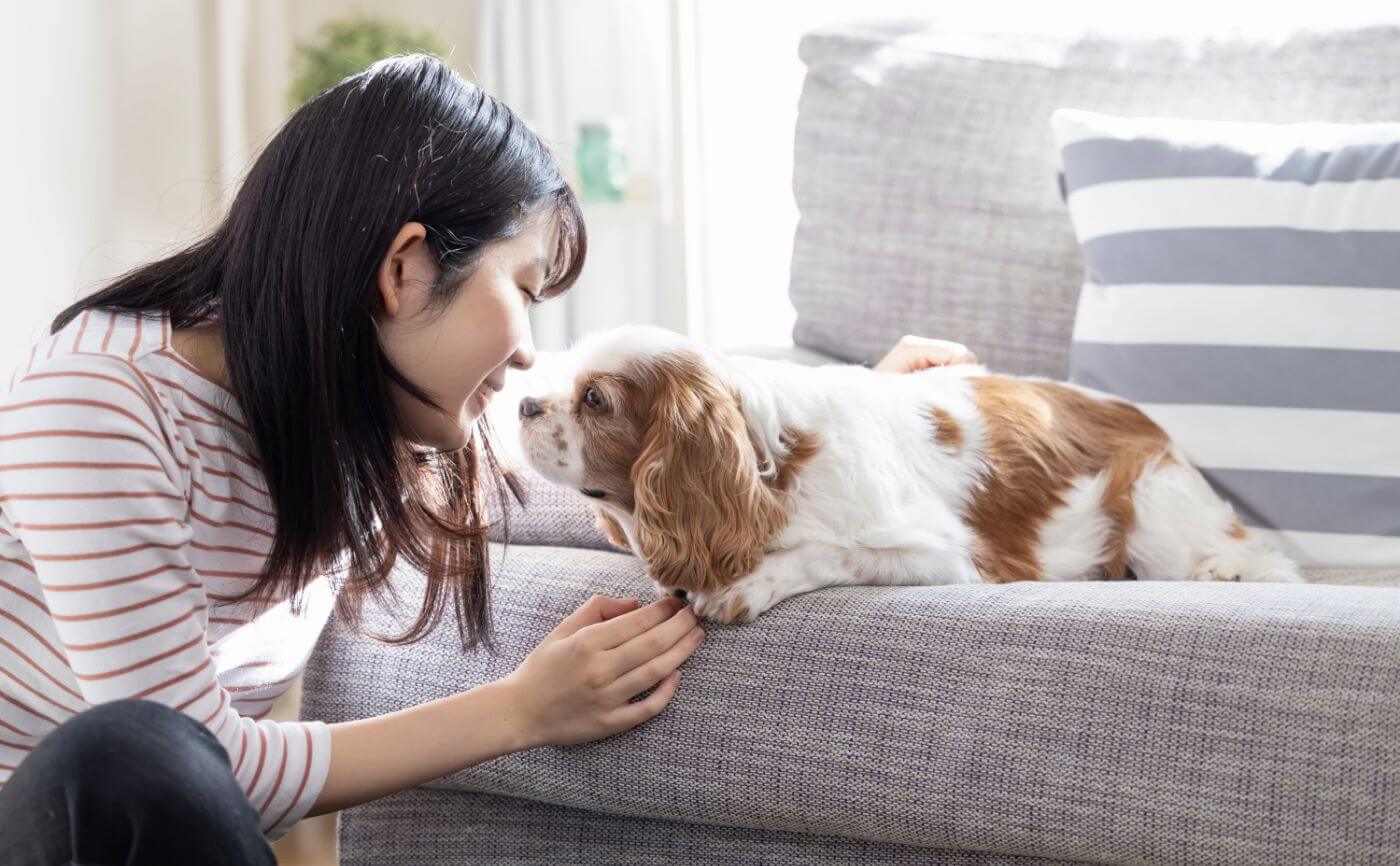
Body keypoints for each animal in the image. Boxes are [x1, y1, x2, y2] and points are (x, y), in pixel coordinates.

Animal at [515, 327, 1299, 623]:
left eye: (595, 400)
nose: (520, 402)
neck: (772, 470)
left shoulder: (940, 554)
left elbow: (827, 553)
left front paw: (748, 584)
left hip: (1153, 506)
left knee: (1261, 557)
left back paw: (1224, 569)